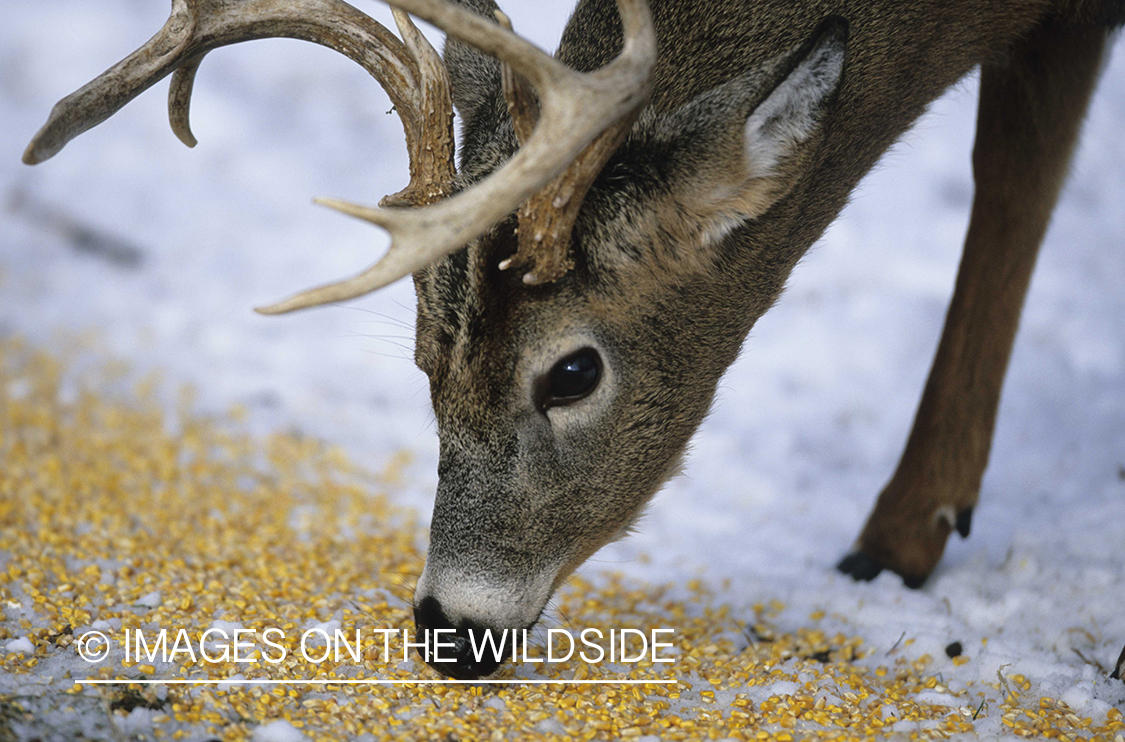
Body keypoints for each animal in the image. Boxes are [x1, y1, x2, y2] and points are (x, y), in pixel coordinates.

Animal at [26, 0, 1125, 679]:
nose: (451, 632)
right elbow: (1019, 174)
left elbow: (1015, 176)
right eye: (425, 360)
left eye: (572, 371)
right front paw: (904, 537)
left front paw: (900, 539)